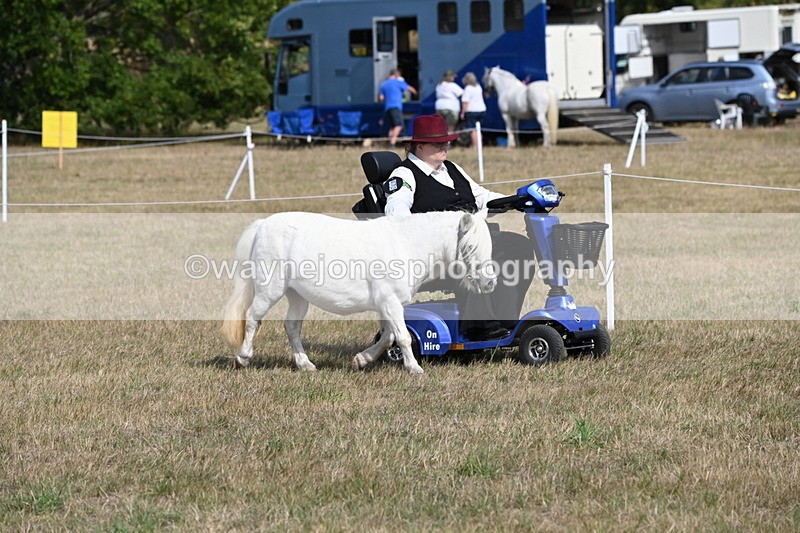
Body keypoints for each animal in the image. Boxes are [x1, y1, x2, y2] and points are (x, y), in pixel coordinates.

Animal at [221, 211, 496, 374]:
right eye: (470, 247)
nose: (490, 283)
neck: (405, 245)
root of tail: (263, 225)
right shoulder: (390, 302)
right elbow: (403, 337)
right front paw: (414, 368)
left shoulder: (388, 305)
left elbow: (389, 336)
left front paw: (361, 360)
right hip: (270, 289)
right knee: (253, 318)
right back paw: (242, 357)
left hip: (297, 295)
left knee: (292, 326)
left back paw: (305, 364)